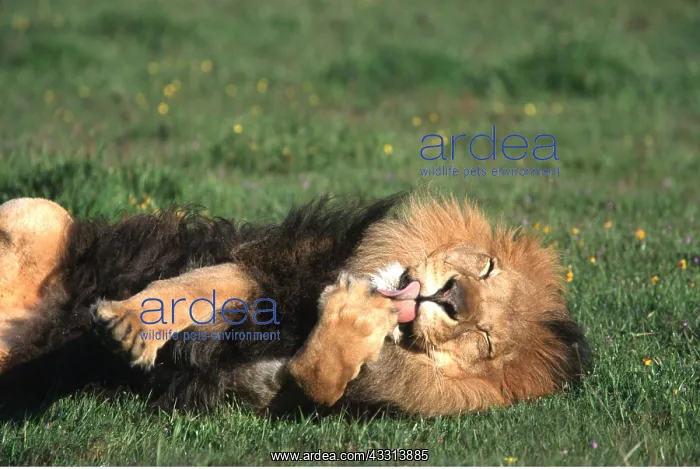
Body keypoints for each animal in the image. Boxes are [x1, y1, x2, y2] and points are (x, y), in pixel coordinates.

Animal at [0, 192, 589, 417]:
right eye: (488, 267)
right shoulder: (261, 269)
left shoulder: (266, 392)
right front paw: (125, 324)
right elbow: (189, 289)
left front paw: (355, 317)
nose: (450, 296)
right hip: (37, 210)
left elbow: (317, 377)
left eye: (483, 340)